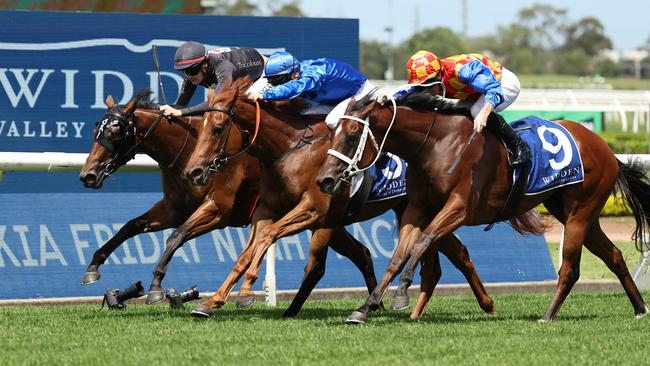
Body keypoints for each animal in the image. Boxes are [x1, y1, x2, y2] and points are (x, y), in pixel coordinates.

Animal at [78, 88, 390, 314]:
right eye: (95, 129)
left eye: (116, 131)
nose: (87, 175)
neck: (188, 150)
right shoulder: (173, 208)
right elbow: (130, 226)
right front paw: (93, 268)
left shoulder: (217, 210)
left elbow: (177, 236)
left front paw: (155, 285)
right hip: (330, 222)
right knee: (361, 254)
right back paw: (373, 305)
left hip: (322, 219)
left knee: (328, 263)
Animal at [181, 78, 492, 318]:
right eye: (199, 124)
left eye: (218, 127)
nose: (192, 171)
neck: (290, 150)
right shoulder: (268, 209)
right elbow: (247, 252)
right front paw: (211, 302)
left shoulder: (314, 210)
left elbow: (269, 237)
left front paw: (245, 292)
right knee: (436, 255)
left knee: (457, 254)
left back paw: (483, 304)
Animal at [316, 91, 648, 324]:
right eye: (331, 134)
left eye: (351, 136)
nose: (325, 180)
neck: (435, 145)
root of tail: (605, 148)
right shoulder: (417, 209)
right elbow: (398, 256)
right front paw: (365, 307)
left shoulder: (460, 208)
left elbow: (423, 241)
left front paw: (400, 294)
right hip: (571, 211)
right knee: (614, 256)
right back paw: (640, 308)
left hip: (581, 211)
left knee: (570, 269)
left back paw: (547, 315)